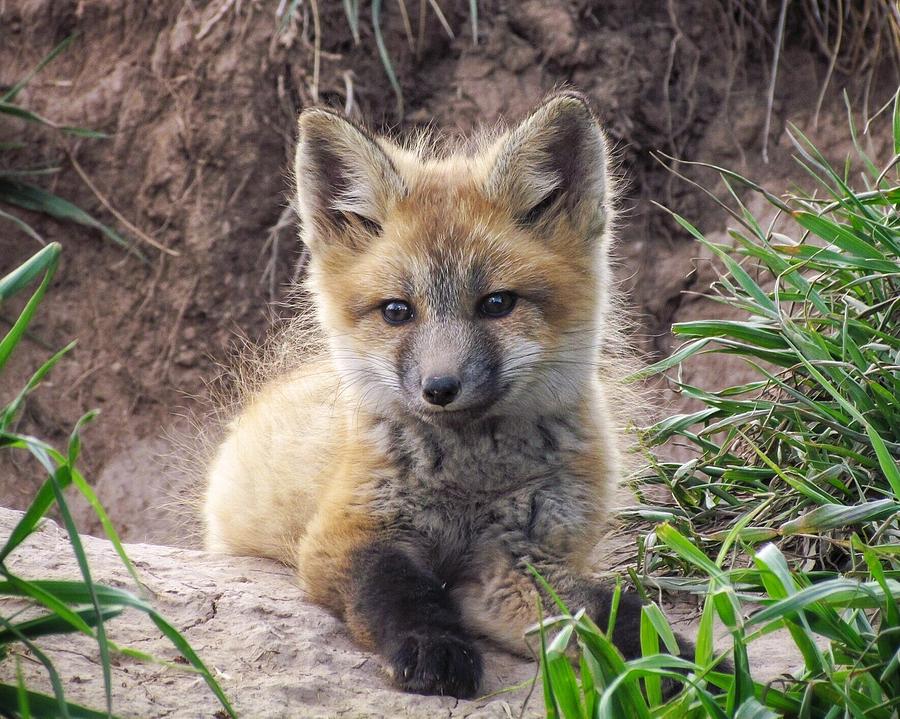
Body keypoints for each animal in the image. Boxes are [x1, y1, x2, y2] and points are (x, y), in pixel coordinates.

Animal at [204, 93, 664, 700]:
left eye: (497, 304)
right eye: (398, 311)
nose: (440, 388)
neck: (469, 485)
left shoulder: (517, 559)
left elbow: (613, 619)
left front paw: (688, 669)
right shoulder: (347, 533)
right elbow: (402, 592)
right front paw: (433, 651)